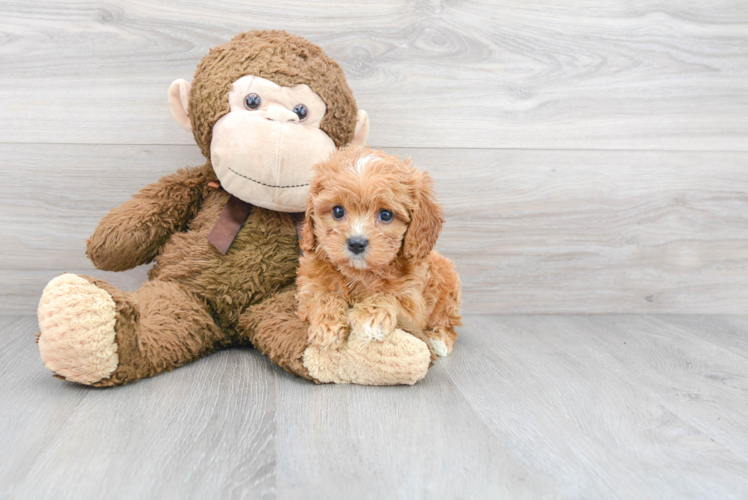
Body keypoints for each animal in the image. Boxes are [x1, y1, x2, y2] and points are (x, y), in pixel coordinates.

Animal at [294, 146, 458, 358]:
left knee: (447, 322)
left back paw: (439, 340)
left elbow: (389, 296)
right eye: (338, 211)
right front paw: (327, 326)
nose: (356, 243)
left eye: (386, 215)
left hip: (448, 288)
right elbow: (322, 296)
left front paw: (369, 317)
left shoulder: (413, 303)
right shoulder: (308, 289)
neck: (359, 274)